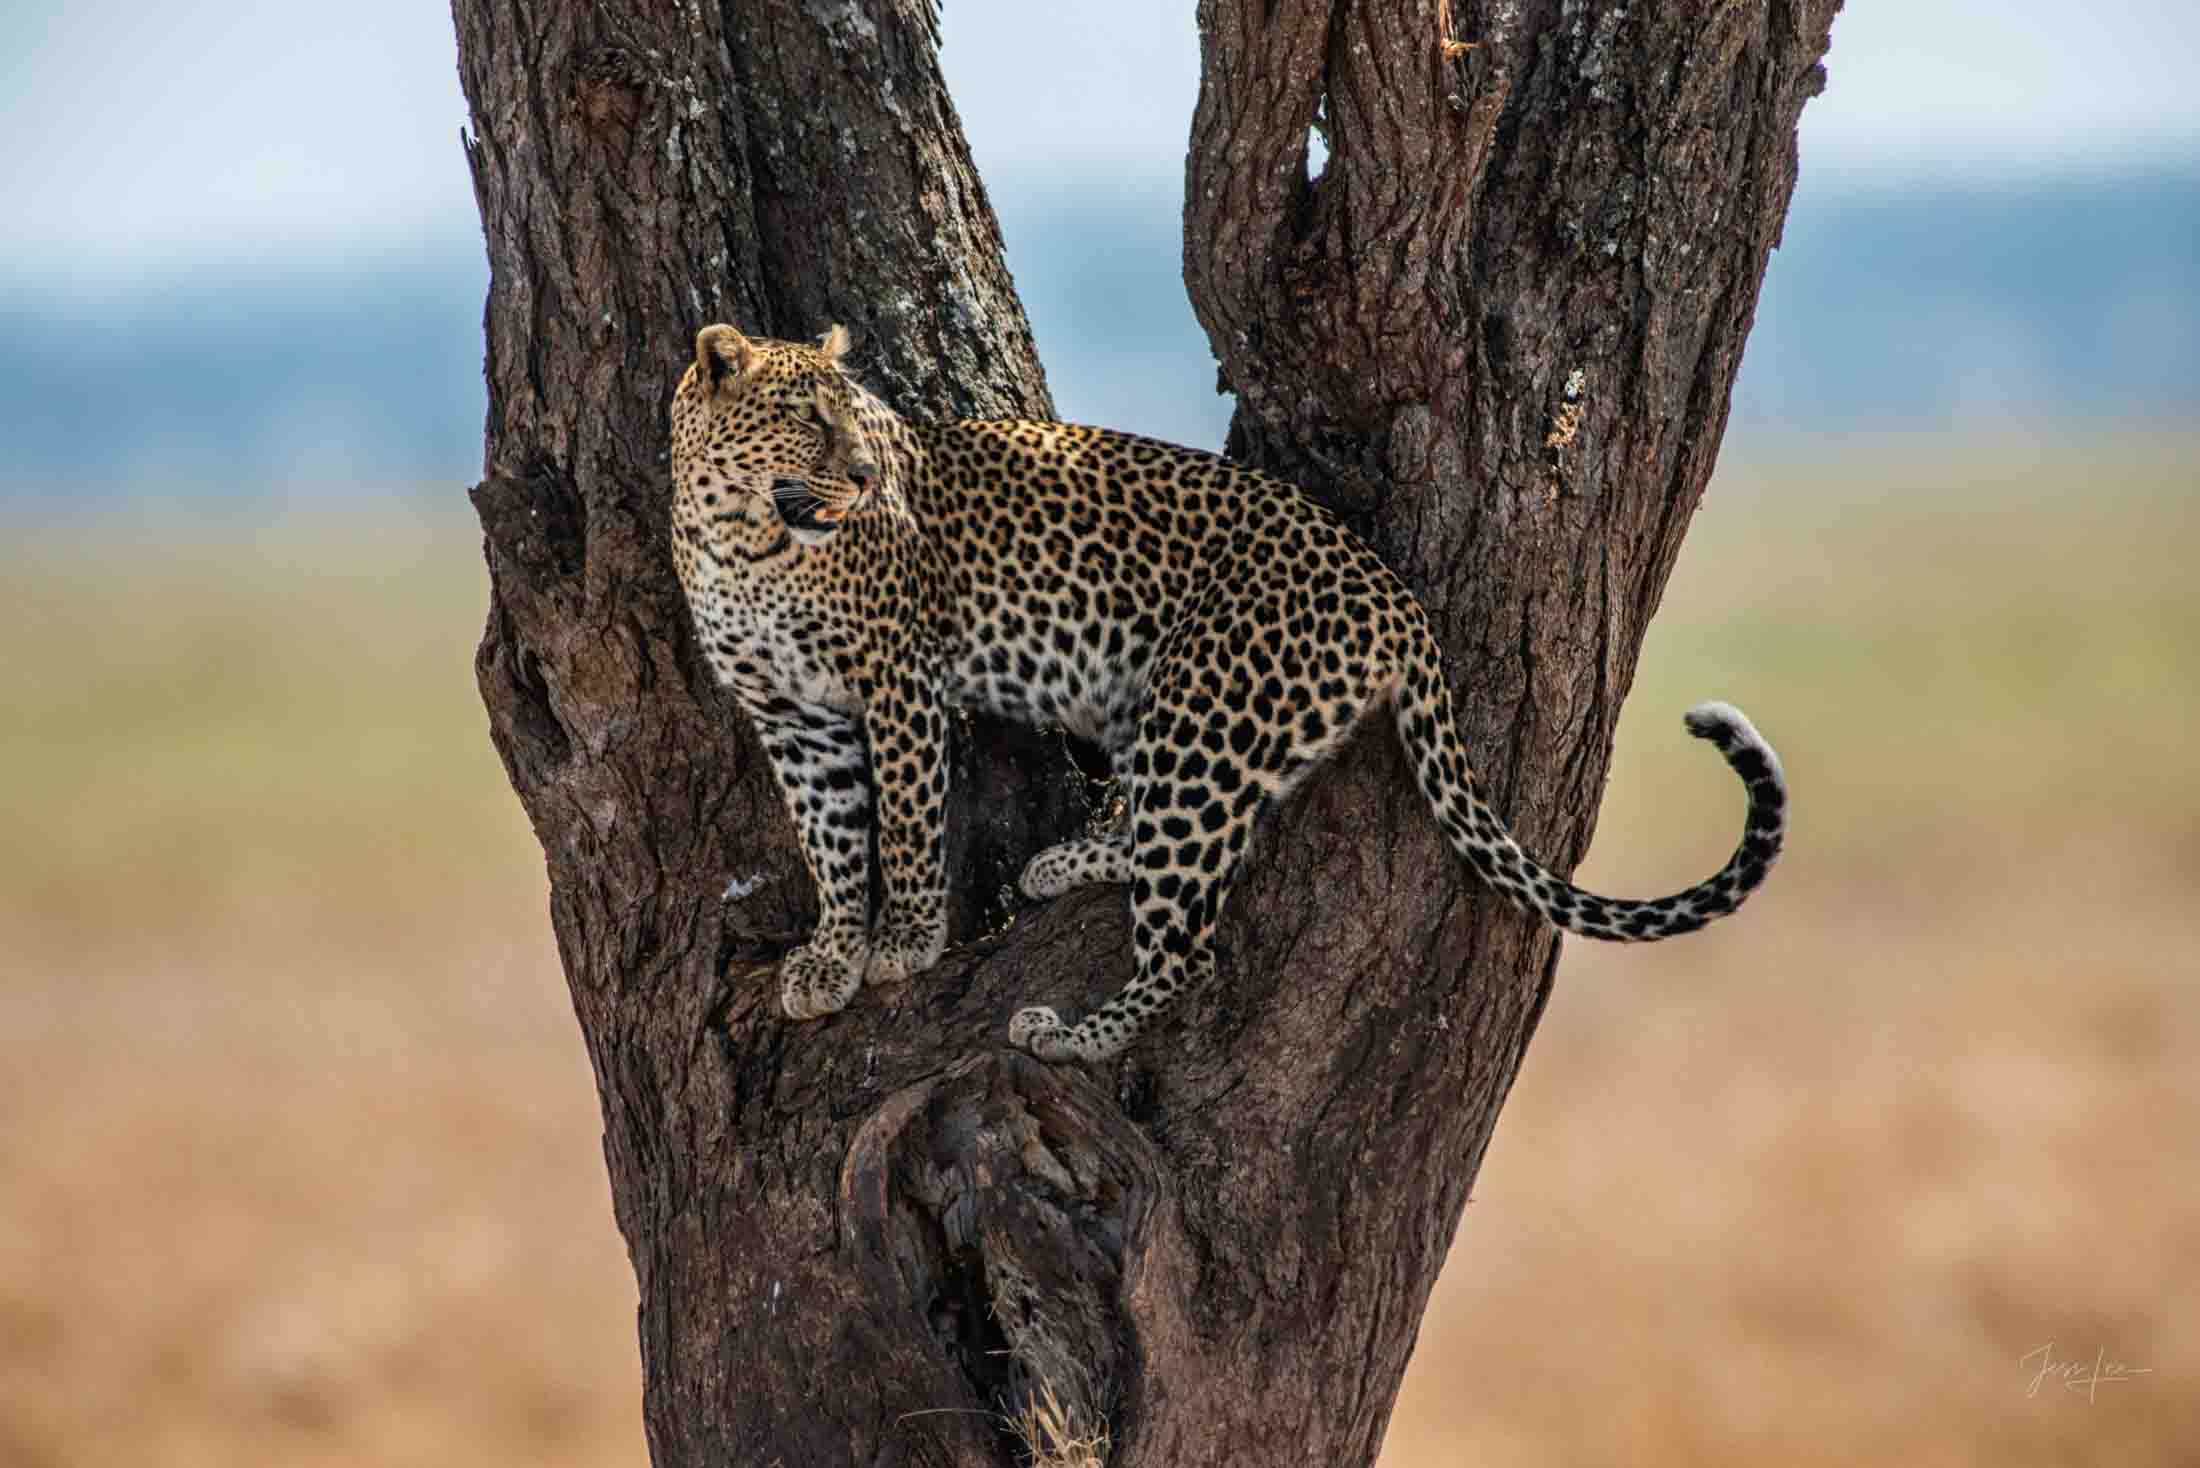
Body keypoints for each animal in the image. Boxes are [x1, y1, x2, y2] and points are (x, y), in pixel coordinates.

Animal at [660, 321, 1777, 1060]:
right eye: (804, 419)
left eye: (858, 422)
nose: (861, 477)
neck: (741, 538)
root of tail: (1391, 593)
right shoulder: (790, 714)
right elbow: (829, 837)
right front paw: (830, 953)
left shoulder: (899, 680)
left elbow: (901, 823)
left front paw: (902, 942)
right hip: (1148, 705)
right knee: (1157, 840)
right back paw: (1065, 864)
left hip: (1204, 714)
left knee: (1187, 949)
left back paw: (1073, 1036)